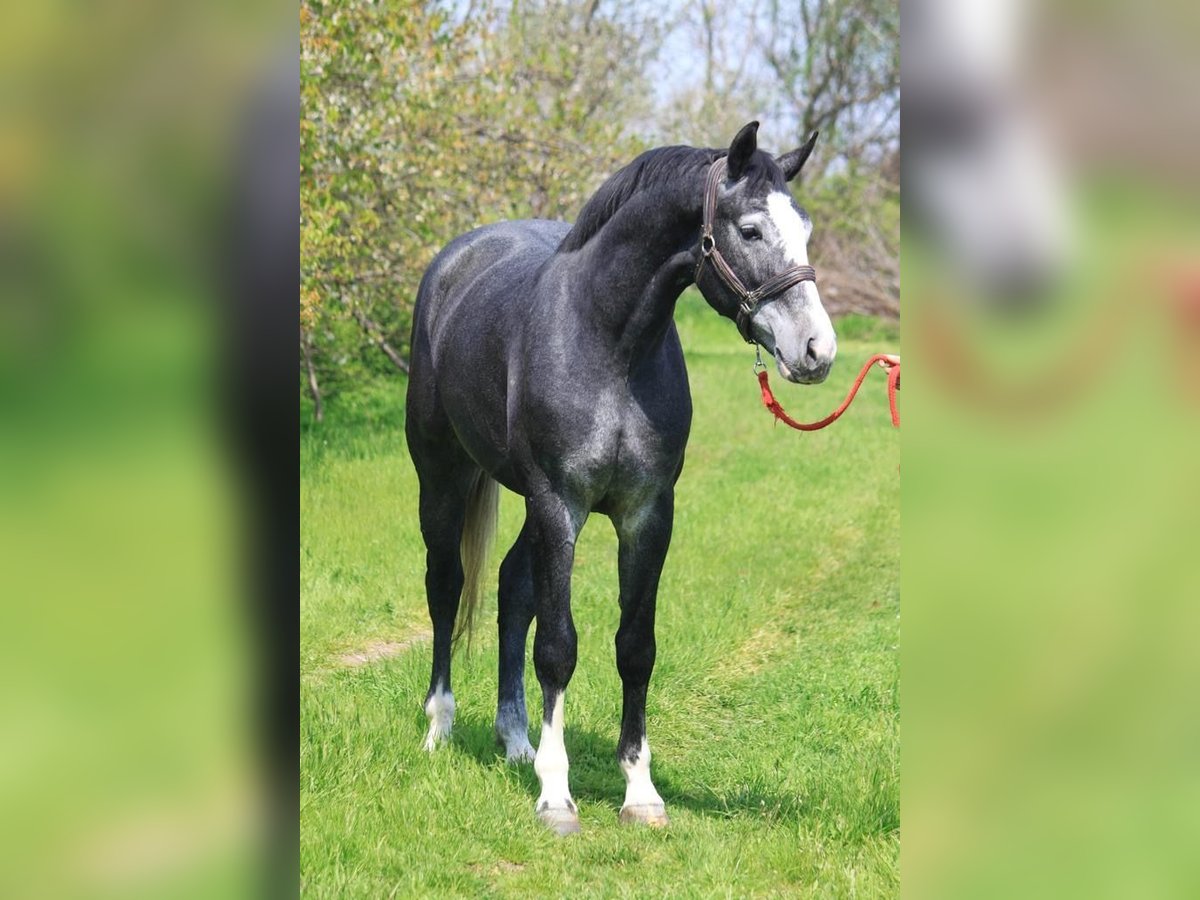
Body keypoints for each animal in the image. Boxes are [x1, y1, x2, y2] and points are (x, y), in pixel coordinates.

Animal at [403, 123, 835, 835]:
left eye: (804, 227)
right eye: (749, 231)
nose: (817, 351)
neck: (608, 342)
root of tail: (453, 262)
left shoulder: (646, 513)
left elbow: (635, 646)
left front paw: (640, 791)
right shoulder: (560, 505)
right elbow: (558, 646)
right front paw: (556, 796)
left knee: (511, 589)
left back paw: (516, 741)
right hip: (444, 477)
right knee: (447, 588)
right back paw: (440, 729)